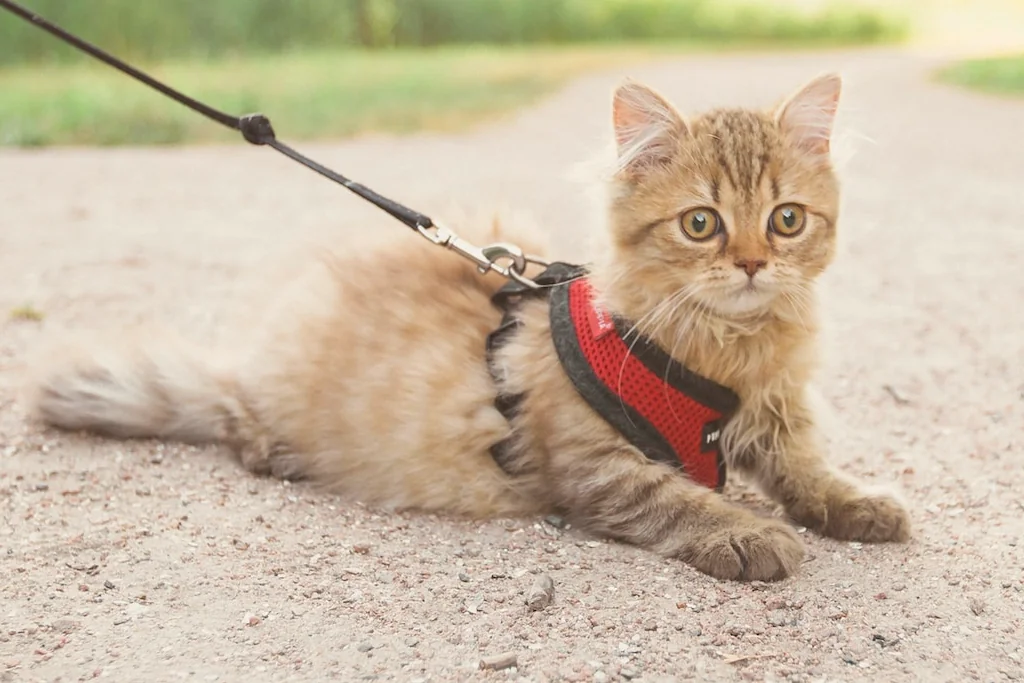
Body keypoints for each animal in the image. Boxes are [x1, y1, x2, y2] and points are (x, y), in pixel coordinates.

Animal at [22, 70, 913, 581]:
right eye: (701, 225)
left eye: (787, 219)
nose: (755, 264)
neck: (731, 355)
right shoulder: (596, 462)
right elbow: (680, 499)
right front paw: (746, 533)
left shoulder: (776, 419)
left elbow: (808, 473)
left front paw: (858, 505)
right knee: (238, 416)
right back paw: (269, 446)